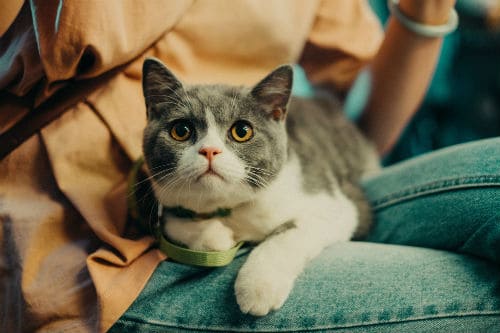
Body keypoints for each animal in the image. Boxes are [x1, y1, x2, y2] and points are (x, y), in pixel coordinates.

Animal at [141, 57, 378, 316]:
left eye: (242, 131)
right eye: (181, 130)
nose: (210, 150)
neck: (232, 209)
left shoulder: (336, 204)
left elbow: (287, 235)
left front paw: (258, 288)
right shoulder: (166, 204)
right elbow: (174, 222)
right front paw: (215, 237)